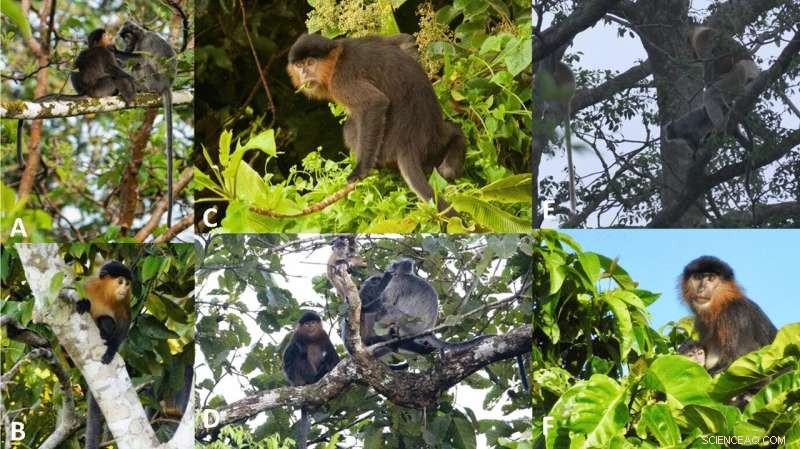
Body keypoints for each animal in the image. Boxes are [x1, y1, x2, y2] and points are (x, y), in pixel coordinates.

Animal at [75, 260, 133, 449]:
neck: (104, 293)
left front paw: (112, 348)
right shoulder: (87, 284)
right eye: (121, 281)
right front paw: (84, 304)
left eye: (127, 283)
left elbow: (125, 319)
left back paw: (104, 334)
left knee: (106, 320)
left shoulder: (125, 300)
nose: (125, 288)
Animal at [115, 21, 178, 229]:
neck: (140, 36)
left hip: (153, 79)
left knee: (142, 63)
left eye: (127, 36)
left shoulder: (145, 42)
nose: (125, 43)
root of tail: (166, 85)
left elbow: (141, 57)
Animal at [282, 311, 341, 449]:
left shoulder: (324, 335)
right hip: (299, 378)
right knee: (299, 356)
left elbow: (335, 359)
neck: (311, 339)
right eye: (307, 323)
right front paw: (298, 348)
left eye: (313, 322)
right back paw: (313, 377)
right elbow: (287, 361)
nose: (310, 326)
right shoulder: (296, 336)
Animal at [287, 33, 466, 214]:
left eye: (310, 62)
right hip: (434, 144)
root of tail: (408, 143)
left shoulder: (341, 78)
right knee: (452, 135)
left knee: (350, 126)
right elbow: (404, 41)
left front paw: (360, 170)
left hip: (386, 149)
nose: (303, 73)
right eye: (299, 65)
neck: (337, 58)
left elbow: (374, 103)